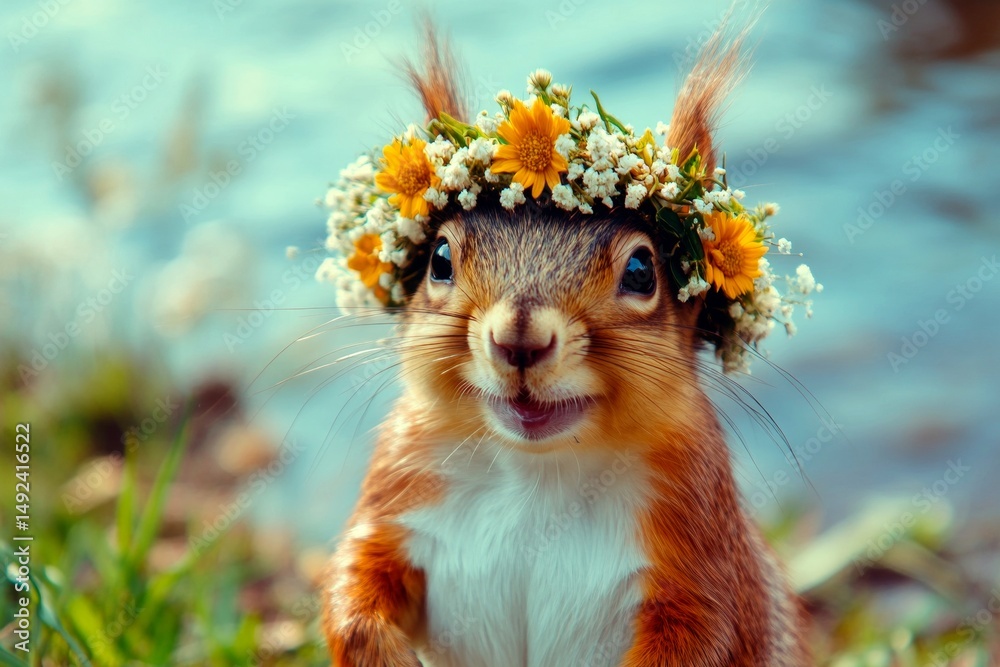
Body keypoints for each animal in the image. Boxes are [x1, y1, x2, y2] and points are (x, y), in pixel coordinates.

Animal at [319, 15, 811, 667]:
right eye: (440, 259)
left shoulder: (698, 550)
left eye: (641, 271)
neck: (535, 475)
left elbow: (705, 635)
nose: (518, 340)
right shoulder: (398, 491)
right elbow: (353, 586)